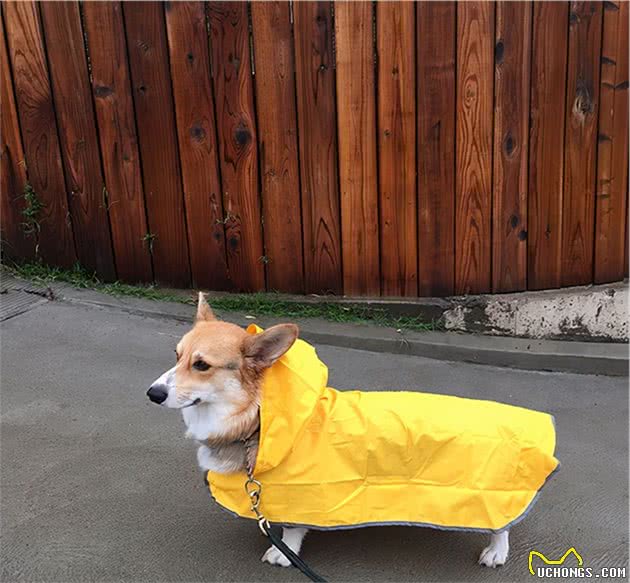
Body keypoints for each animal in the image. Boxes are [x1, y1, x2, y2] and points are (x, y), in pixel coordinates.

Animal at [148, 294, 520, 568]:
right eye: (176, 355)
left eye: (201, 365)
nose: (152, 394)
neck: (255, 417)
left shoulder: (301, 491)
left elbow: (293, 526)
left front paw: (283, 552)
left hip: (488, 493)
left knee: (501, 522)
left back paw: (496, 552)